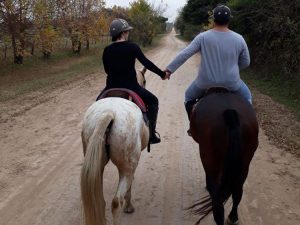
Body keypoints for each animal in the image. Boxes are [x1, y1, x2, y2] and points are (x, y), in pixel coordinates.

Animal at [190, 89, 258, 225]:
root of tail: (230, 113)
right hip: (244, 165)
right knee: (237, 192)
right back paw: (233, 217)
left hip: (210, 160)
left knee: (217, 200)